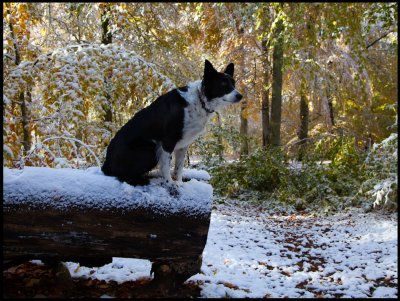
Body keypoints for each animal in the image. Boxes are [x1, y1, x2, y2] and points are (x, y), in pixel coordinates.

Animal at [101, 59, 242, 188]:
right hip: (149, 149)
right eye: (223, 84)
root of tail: (106, 164)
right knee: (123, 176)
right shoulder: (168, 141)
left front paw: (179, 183)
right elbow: (166, 165)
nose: (240, 96)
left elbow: (178, 167)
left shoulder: (183, 144)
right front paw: (170, 183)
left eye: (233, 83)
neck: (200, 100)